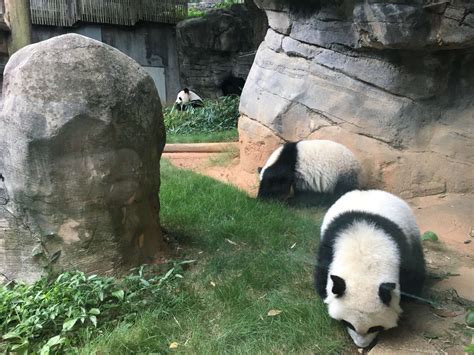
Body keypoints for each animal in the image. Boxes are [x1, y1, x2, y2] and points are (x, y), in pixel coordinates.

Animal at [314, 191, 426, 350]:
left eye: (374, 328)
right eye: (349, 324)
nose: (362, 345)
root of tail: (369, 191)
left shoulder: (402, 250)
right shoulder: (328, 247)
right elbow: (323, 277)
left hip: (412, 231)